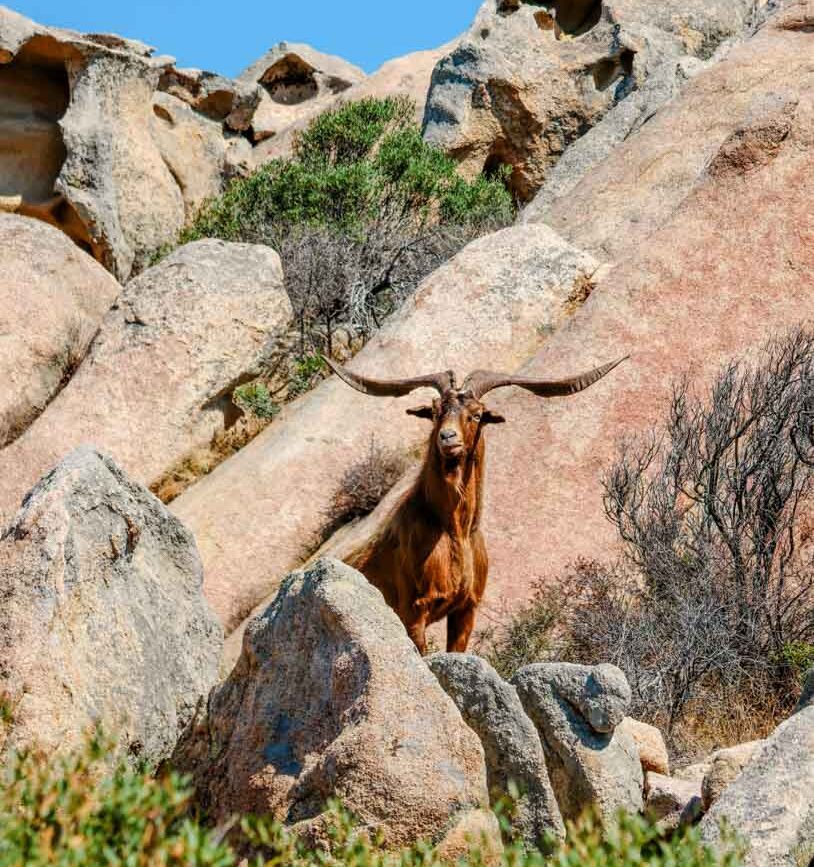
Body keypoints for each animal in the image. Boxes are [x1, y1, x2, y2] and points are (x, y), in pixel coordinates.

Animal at [327, 356, 626, 653]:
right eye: (435, 411)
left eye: (477, 414)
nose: (448, 438)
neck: (454, 531)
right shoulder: (413, 610)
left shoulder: (466, 609)